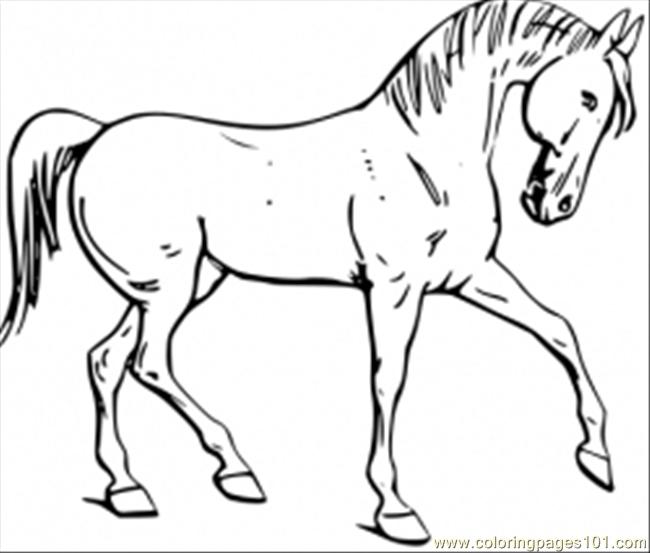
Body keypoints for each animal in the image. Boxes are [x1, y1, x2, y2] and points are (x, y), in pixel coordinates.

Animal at [0, 0, 643, 545]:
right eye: (588, 98)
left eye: (611, 113)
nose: (554, 204)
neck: (426, 157)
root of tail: (93, 137)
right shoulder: (394, 289)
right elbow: (387, 380)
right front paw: (396, 510)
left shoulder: (469, 276)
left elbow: (558, 329)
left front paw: (598, 459)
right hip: (169, 287)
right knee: (147, 361)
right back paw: (232, 470)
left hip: (178, 285)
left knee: (106, 361)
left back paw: (131, 488)